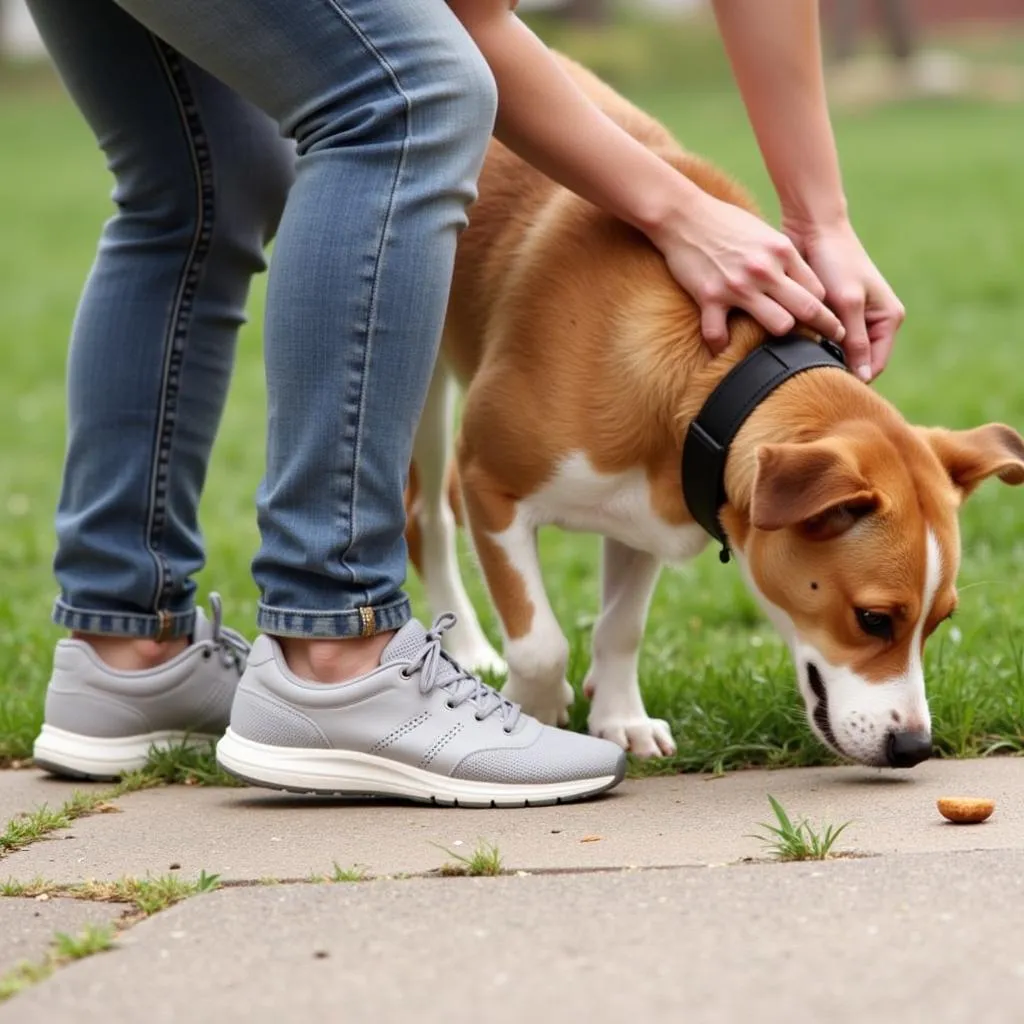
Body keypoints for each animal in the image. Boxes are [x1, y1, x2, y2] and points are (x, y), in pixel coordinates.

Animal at [403, 54, 1024, 770]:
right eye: (872, 619)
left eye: (940, 621)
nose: (916, 748)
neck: (721, 375)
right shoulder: (492, 486)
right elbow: (540, 643)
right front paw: (532, 715)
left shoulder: (644, 511)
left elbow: (621, 626)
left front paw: (620, 717)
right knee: (428, 516)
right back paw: (469, 653)